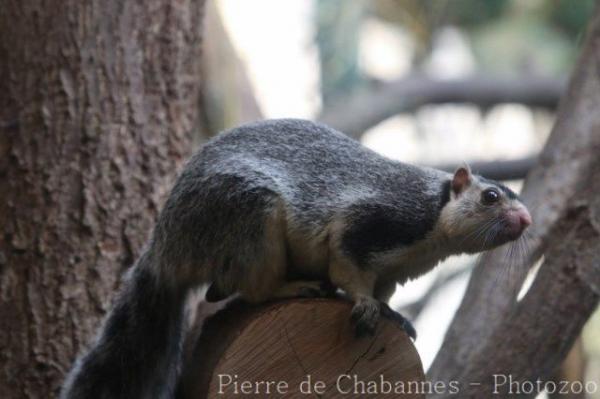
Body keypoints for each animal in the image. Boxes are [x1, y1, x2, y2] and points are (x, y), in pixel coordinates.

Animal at [59, 119, 528, 399]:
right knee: (249, 291)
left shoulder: (395, 272)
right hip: (248, 217)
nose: (526, 219)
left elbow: (385, 293)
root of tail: (166, 248)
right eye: (490, 197)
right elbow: (349, 269)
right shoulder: (369, 222)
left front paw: (393, 315)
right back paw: (295, 286)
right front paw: (365, 307)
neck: (433, 222)